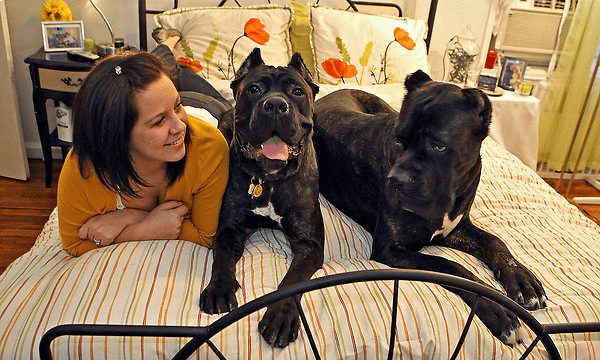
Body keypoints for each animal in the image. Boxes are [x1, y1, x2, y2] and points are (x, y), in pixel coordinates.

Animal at [199, 49, 324, 348]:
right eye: (254, 89)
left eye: (297, 91)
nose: (276, 105)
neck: (269, 179)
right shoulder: (229, 230)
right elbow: (221, 259)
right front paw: (219, 289)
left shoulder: (309, 244)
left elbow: (293, 281)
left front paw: (280, 316)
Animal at [312, 69, 548, 344]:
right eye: (398, 141)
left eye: (439, 146)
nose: (397, 180)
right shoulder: (390, 249)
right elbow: (450, 267)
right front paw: (500, 311)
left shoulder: (456, 229)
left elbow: (494, 241)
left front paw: (522, 280)